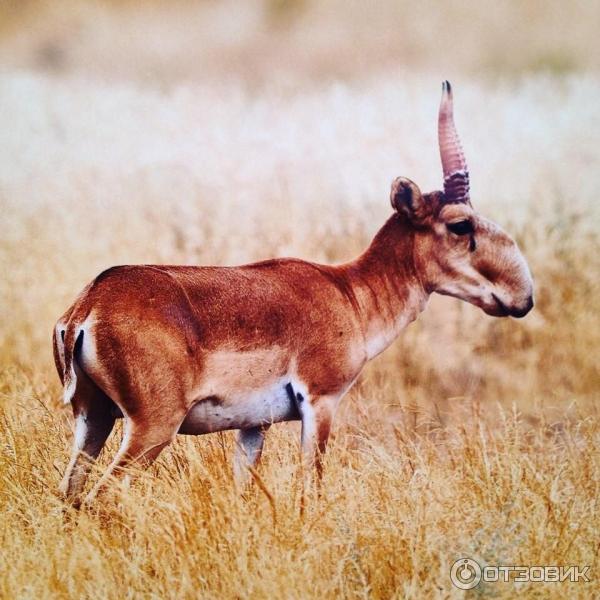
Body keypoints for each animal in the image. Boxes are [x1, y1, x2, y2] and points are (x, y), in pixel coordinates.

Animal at [55, 83, 536, 506]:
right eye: (461, 224)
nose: (523, 297)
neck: (348, 292)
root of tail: (89, 305)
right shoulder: (320, 404)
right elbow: (311, 489)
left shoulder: (254, 427)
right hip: (150, 429)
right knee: (99, 498)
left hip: (94, 421)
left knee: (68, 497)